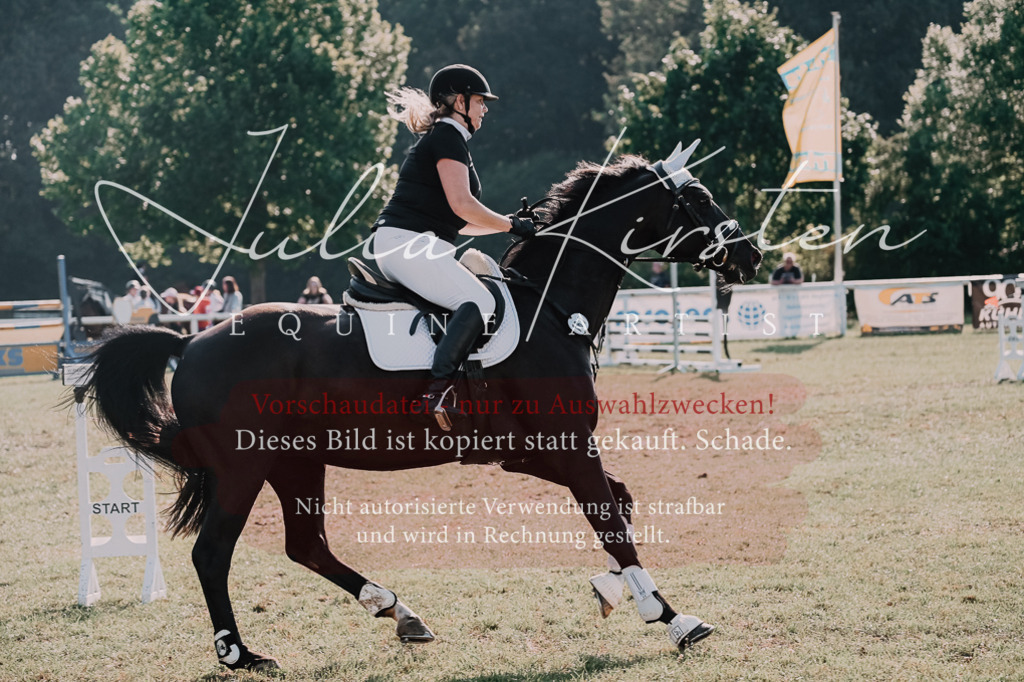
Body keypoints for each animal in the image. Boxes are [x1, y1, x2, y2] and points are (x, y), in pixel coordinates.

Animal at [82, 141, 761, 672]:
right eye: (699, 199)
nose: (751, 256)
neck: (547, 309)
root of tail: (190, 341)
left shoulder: (532, 452)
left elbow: (618, 503)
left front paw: (613, 592)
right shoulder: (567, 449)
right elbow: (612, 522)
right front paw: (670, 617)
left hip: (295, 461)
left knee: (306, 545)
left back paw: (398, 612)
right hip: (241, 470)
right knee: (213, 553)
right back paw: (240, 653)